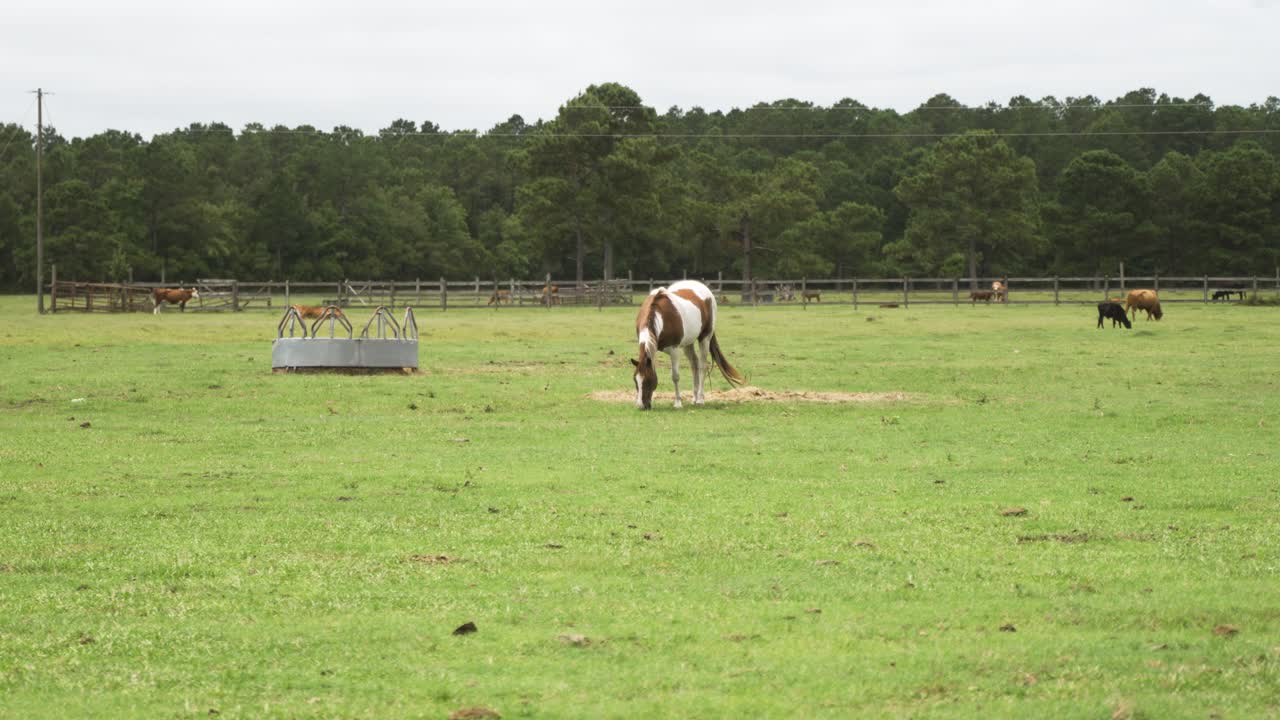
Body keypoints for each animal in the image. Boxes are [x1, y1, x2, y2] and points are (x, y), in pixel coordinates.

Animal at [632, 280, 745, 409]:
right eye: (635, 380)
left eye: (648, 380)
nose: (641, 406)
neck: (659, 316)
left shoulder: (674, 351)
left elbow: (675, 376)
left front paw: (678, 402)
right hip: (688, 343)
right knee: (694, 364)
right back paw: (694, 398)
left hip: (705, 338)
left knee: (702, 366)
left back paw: (700, 399)